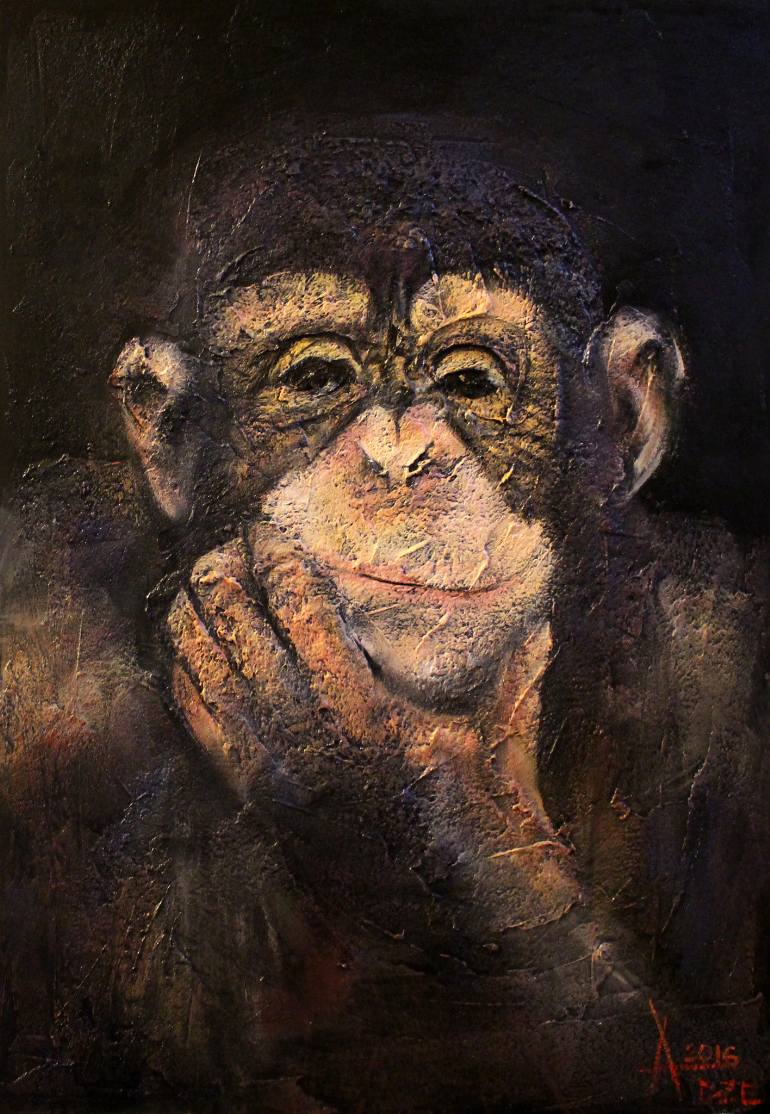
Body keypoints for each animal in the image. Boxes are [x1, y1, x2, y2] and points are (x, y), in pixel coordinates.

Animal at [1, 117, 769, 1112]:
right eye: (319, 377)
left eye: (470, 383)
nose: (399, 457)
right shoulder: (34, 628)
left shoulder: (730, 643)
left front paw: (397, 784)